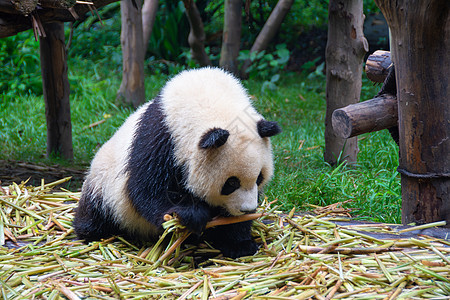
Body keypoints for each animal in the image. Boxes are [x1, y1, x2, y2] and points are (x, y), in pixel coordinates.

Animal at [74, 67, 282, 258]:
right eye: (231, 183)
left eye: (259, 178)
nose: (247, 209)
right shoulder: (160, 138)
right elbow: (146, 189)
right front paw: (192, 215)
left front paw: (239, 243)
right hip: (103, 183)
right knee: (96, 212)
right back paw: (89, 232)